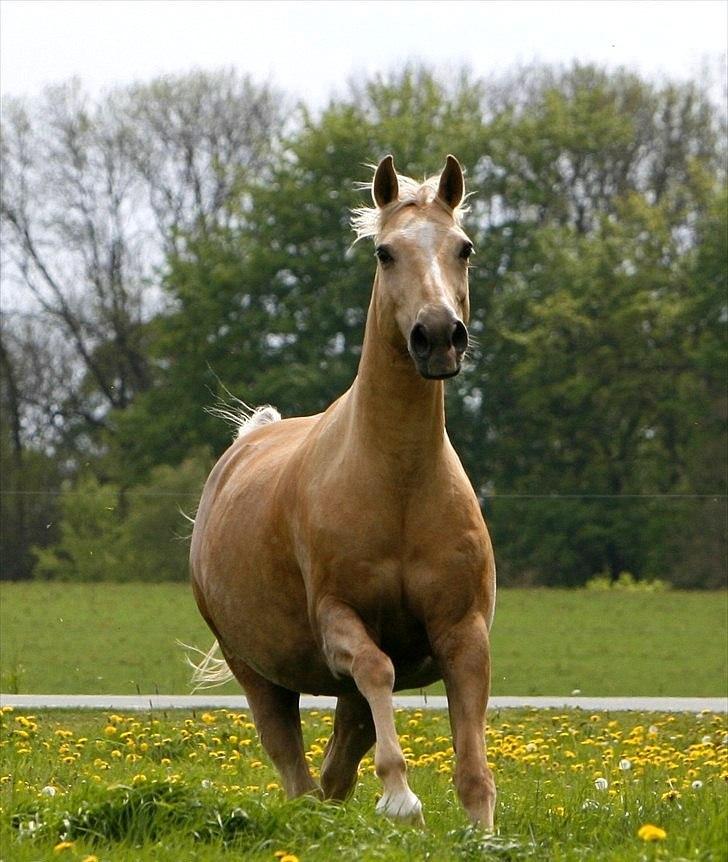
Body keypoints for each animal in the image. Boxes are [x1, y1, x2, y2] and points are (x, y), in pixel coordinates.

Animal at [188, 157, 498, 832]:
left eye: (464, 247)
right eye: (385, 252)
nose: (439, 335)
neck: (398, 483)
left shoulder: (463, 632)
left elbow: (473, 767)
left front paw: (482, 832)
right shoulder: (339, 622)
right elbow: (378, 670)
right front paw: (400, 796)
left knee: (333, 771)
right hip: (257, 674)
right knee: (297, 771)